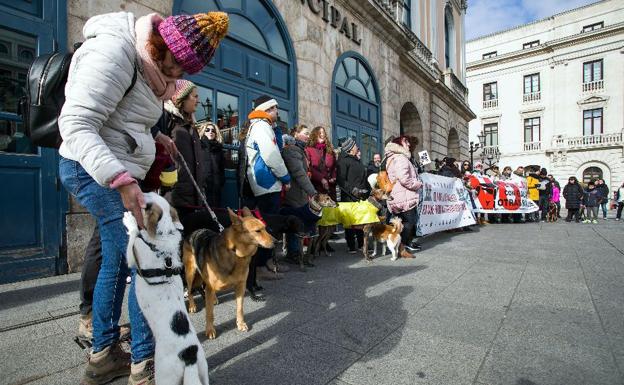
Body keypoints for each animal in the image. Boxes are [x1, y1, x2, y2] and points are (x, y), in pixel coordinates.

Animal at [183, 208, 276, 338]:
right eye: (258, 231)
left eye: (265, 228)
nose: (276, 242)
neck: (235, 253)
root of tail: (193, 233)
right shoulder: (210, 287)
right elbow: (209, 313)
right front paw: (210, 330)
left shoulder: (241, 286)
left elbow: (240, 308)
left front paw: (241, 324)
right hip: (190, 273)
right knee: (191, 289)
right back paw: (192, 306)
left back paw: (212, 298)